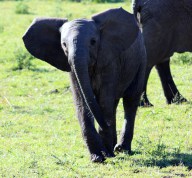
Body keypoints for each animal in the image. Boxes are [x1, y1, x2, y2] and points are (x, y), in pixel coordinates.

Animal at [22, 7, 146, 162]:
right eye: (63, 44)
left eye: (93, 42)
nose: (106, 127)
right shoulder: (71, 66)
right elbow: (81, 101)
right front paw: (97, 158)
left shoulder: (109, 60)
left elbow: (104, 101)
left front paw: (107, 154)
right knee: (114, 104)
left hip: (141, 60)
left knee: (130, 100)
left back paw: (121, 149)